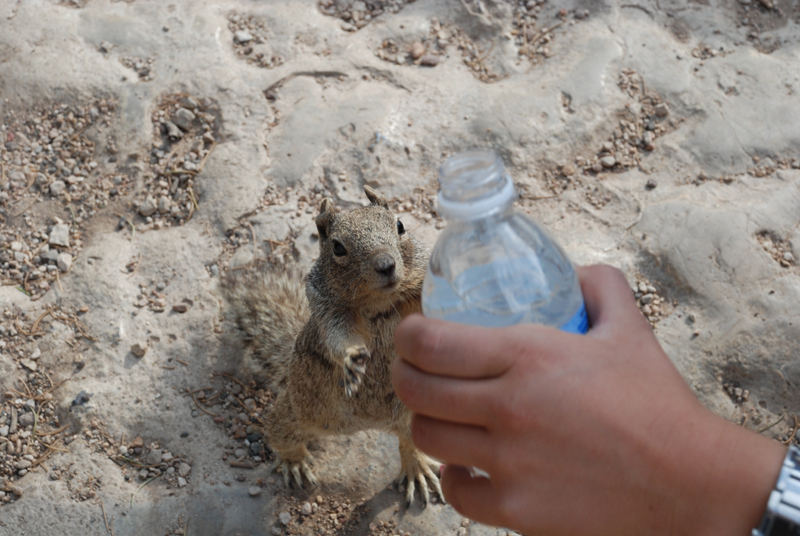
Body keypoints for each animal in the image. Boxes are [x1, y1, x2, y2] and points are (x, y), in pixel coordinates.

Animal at [225, 186, 444, 504]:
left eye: (401, 225)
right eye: (338, 247)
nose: (386, 265)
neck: (383, 305)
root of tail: (369, 424)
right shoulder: (329, 312)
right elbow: (339, 338)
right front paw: (353, 359)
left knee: (408, 441)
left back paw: (417, 467)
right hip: (298, 410)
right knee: (279, 432)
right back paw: (295, 462)